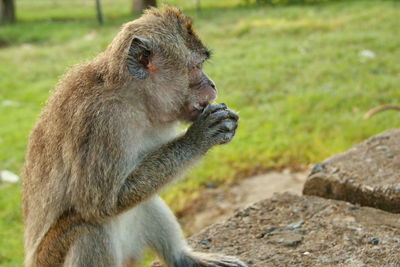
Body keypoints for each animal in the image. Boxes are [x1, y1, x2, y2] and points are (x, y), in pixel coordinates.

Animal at [22, 5, 247, 267]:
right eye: (196, 67)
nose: (212, 84)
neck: (133, 98)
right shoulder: (102, 121)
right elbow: (101, 203)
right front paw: (198, 139)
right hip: (50, 257)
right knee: (89, 226)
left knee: (146, 198)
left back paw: (182, 257)